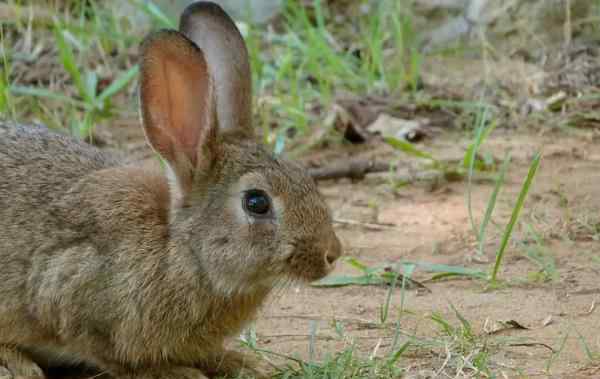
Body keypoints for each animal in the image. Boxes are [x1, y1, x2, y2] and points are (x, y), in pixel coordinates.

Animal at [0, 2, 340, 379]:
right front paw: (178, 372)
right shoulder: (69, 288)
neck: (182, 249)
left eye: (304, 175)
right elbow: (112, 356)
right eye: (256, 202)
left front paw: (243, 363)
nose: (332, 253)